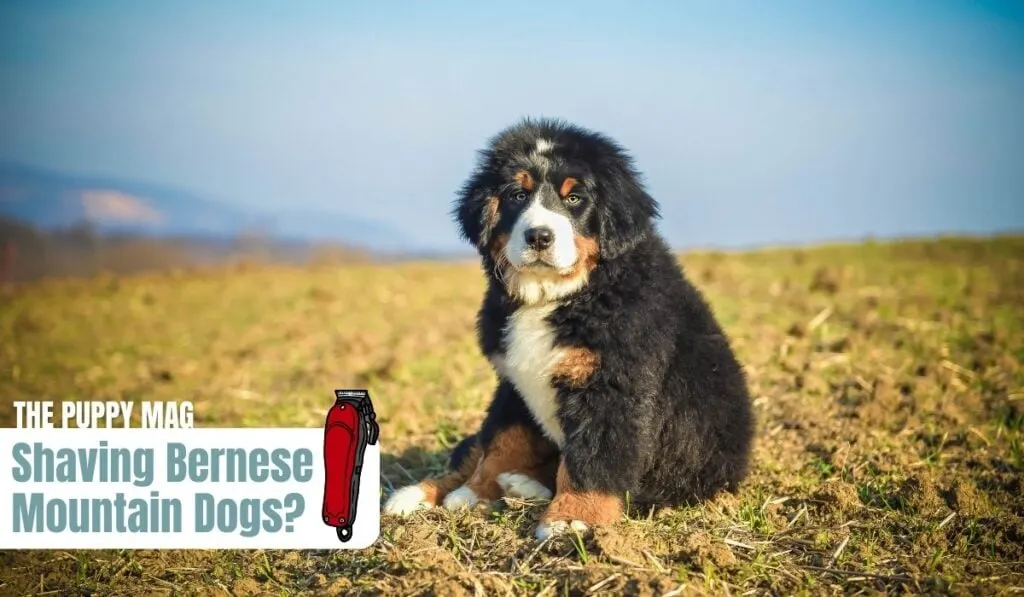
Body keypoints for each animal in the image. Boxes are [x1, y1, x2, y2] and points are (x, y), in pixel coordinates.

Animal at [382, 119, 753, 540]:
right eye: (517, 195)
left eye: (575, 198)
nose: (539, 236)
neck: (563, 295)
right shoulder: (514, 382)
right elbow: (502, 441)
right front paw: (475, 491)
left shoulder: (611, 385)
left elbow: (591, 457)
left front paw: (574, 517)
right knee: (475, 448)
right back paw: (422, 493)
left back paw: (521, 487)